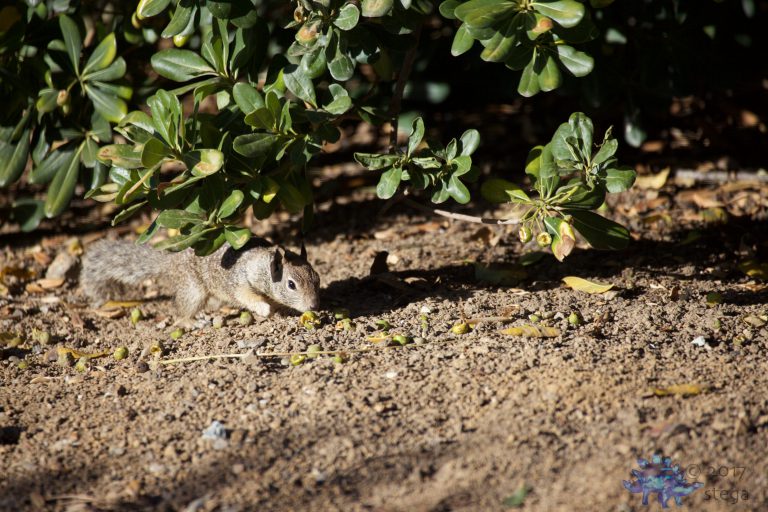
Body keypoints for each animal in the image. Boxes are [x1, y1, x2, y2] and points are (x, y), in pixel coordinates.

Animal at [80, 238, 320, 325]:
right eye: (291, 284)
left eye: (317, 279)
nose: (313, 306)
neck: (261, 267)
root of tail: (170, 263)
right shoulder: (239, 281)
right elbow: (246, 296)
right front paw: (263, 308)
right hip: (193, 290)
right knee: (181, 313)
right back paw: (192, 321)